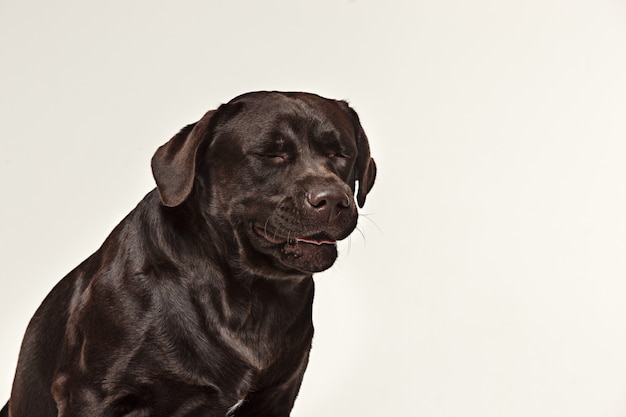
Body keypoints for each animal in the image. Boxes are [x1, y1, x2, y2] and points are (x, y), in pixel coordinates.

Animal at [1, 91, 376, 416]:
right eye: (271, 155)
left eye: (341, 154)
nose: (332, 199)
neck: (248, 293)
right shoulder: (91, 392)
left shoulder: (276, 397)